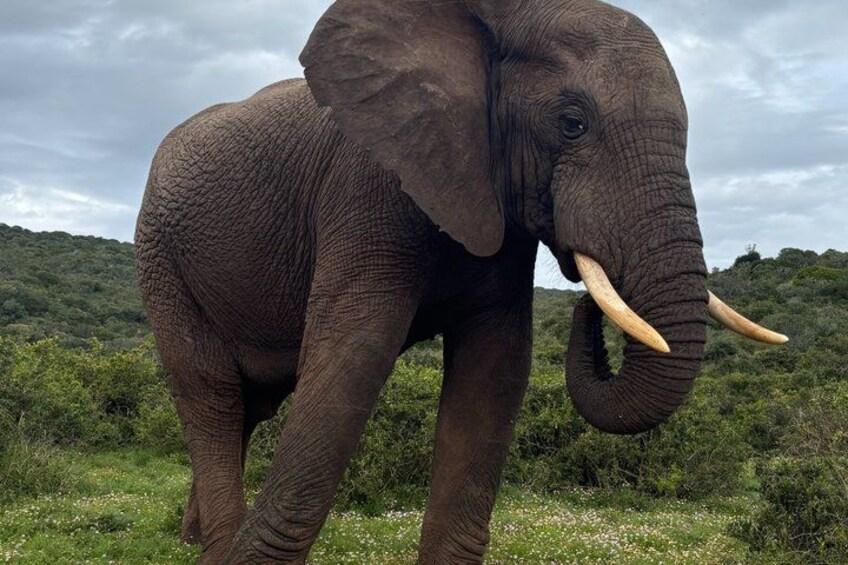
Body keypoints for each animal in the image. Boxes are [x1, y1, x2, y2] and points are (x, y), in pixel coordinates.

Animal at [135, 0, 787, 562]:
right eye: (572, 124)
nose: (586, 307)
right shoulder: (366, 183)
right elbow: (352, 357)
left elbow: (494, 372)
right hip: (161, 256)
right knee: (210, 394)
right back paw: (214, 547)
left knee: (249, 406)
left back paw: (192, 540)